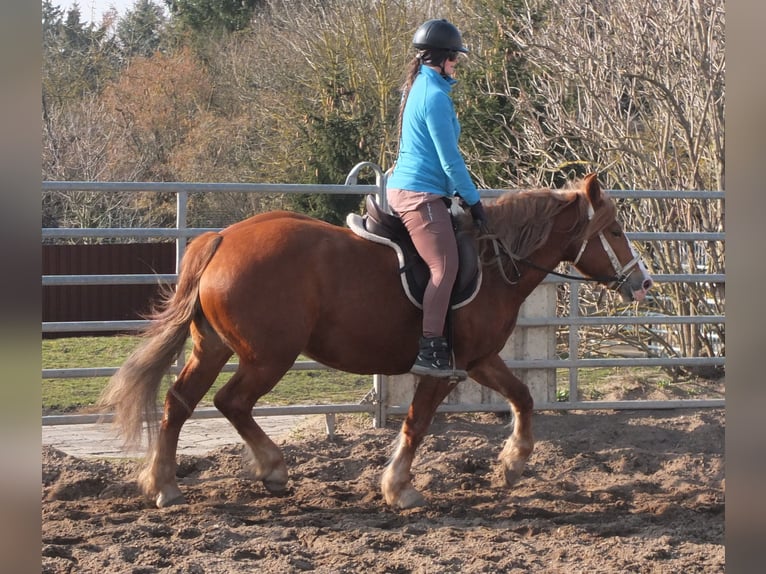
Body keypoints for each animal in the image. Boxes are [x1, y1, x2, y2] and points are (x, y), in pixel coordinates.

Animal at [99, 173, 656, 510]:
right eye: (617, 231)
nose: (642, 281)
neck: (494, 261)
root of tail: (222, 238)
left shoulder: (480, 359)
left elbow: (522, 398)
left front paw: (514, 463)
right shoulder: (444, 367)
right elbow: (417, 423)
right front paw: (398, 487)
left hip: (212, 349)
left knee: (179, 402)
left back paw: (165, 483)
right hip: (267, 358)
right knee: (230, 402)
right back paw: (271, 468)